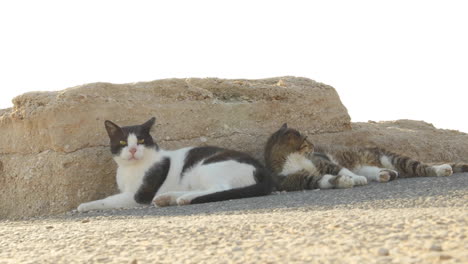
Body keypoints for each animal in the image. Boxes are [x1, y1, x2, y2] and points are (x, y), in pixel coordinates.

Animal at [77, 116, 272, 211]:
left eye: (140, 140)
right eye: (123, 142)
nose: (132, 150)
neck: (130, 169)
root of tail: (261, 170)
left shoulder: (139, 196)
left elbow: (107, 200)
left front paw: (85, 206)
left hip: (208, 166)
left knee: (221, 189)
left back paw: (184, 199)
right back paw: (168, 198)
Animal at [266, 124, 466, 192]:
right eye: (306, 139)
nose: (314, 144)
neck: (294, 158)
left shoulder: (323, 161)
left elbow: (341, 169)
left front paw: (355, 179)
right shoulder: (292, 179)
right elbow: (320, 180)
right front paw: (343, 182)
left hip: (392, 158)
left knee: (421, 166)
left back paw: (441, 169)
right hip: (373, 166)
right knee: (385, 172)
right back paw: (386, 175)